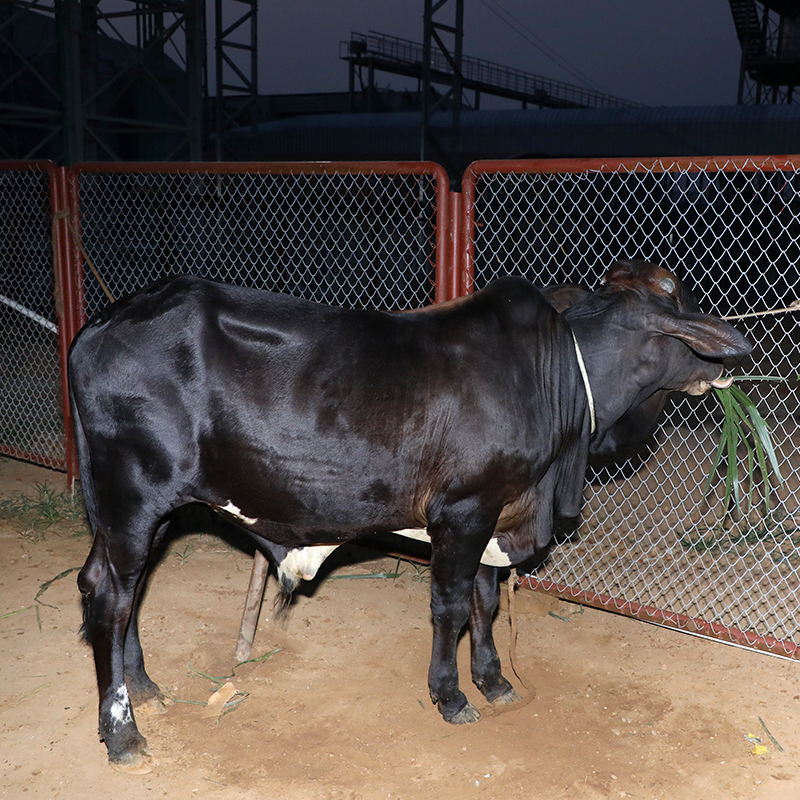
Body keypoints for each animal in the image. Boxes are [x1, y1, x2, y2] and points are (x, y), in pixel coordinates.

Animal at [68, 259, 751, 773]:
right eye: (678, 299)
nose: (730, 363)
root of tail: (100, 322)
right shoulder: (464, 510)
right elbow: (450, 607)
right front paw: (451, 695)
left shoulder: (494, 512)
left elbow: (485, 601)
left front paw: (494, 681)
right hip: (133, 497)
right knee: (110, 594)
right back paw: (122, 732)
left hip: (150, 510)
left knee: (127, 590)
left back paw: (144, 687)